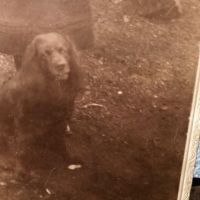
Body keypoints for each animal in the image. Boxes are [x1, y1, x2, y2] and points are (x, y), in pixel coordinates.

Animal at [0, 32, 82, 178]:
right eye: (45, 54)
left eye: (63, 50)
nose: (61, 65)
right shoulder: (24, 121)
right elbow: (22, 149)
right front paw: (22, 170)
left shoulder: (61, 119)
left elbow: (62, 143)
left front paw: (69, 159)